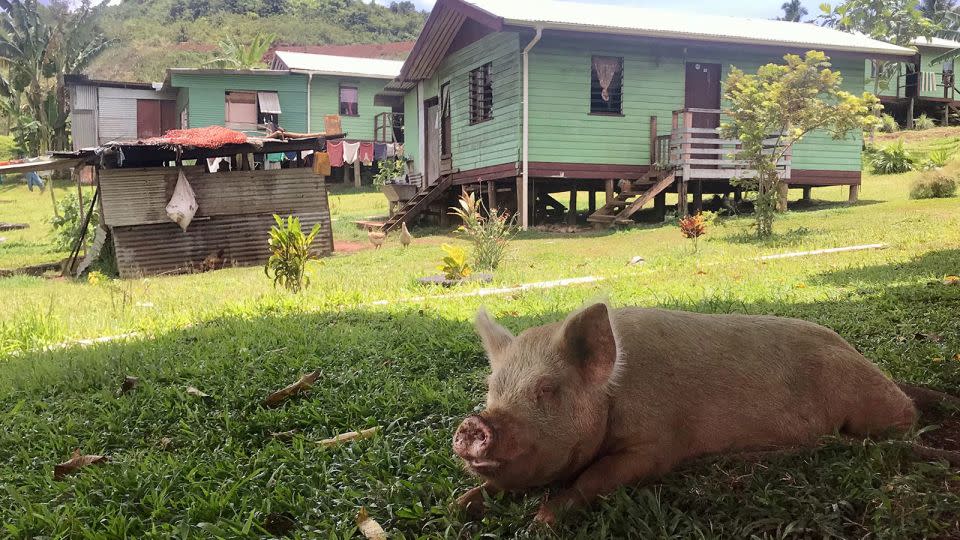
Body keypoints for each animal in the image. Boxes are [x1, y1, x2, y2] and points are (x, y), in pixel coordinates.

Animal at [454, 306, 920, 524]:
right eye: (492, 390)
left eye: (546, 390)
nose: (473, 424)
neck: (612, 394)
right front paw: (460, 506)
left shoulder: (658, 445)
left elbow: (598, 476)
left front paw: (543, 520)